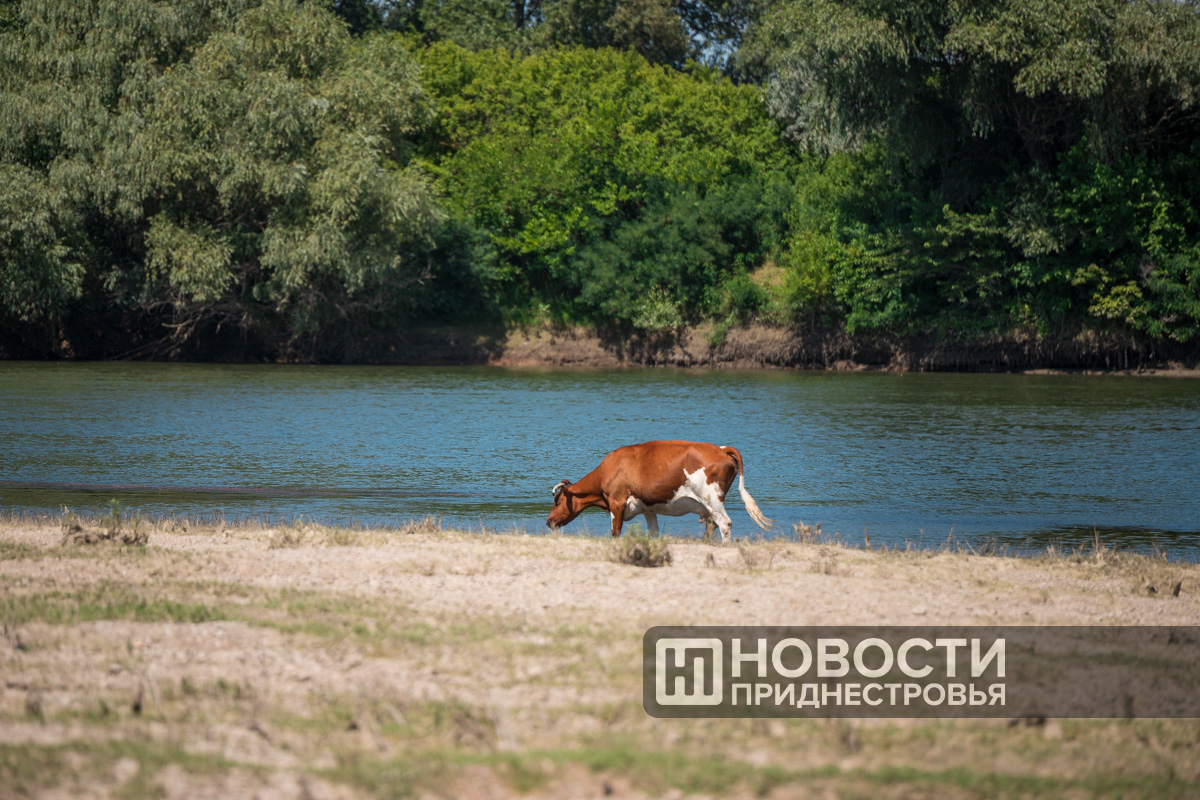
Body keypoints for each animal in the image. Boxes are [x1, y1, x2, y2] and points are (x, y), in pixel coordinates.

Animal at [545, 440, 772, 542]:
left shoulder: (617, 502)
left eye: (557, 501)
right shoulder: (648, 508)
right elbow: (653, 532)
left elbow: (615, 532)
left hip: (712, 498)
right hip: (708, 504)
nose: (548, 521)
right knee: (712, 524)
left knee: (724, 523)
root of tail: (721, 448)